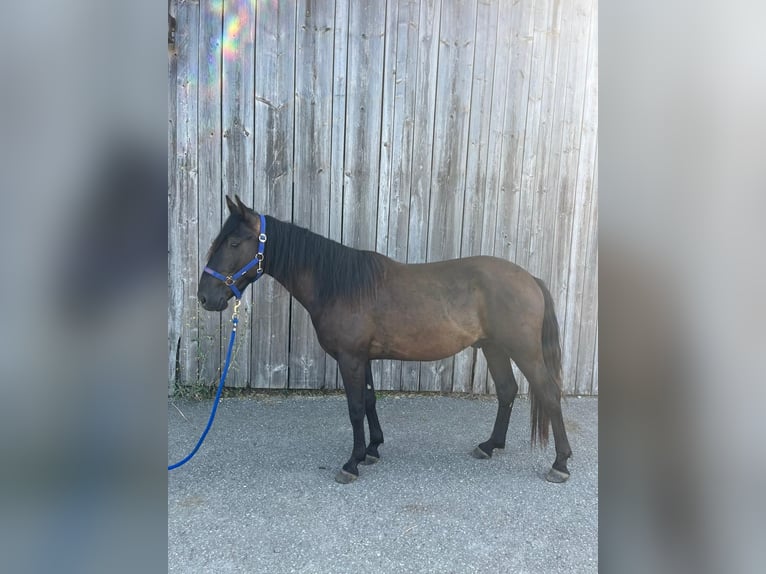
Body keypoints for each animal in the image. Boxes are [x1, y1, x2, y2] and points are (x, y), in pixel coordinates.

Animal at [197, 195, 572, 484]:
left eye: (234, 242)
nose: (205, 297)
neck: (340, 284)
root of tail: (531, 279)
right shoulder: (363, 358)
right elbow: (369, 401)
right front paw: (373, 449)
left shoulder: (350, 358)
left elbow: (354, 408)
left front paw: (352, 463)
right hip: (493, 348)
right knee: (507, 391)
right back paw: (490, 445)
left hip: (524, 352)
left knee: (549, 393)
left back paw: (560, 464)